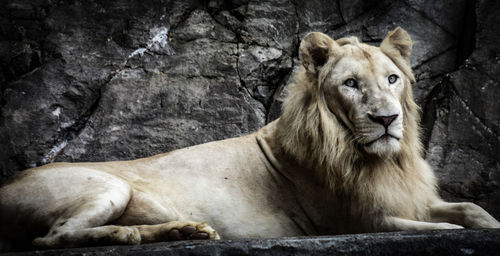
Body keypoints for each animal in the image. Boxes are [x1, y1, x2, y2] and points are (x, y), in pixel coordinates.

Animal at [0, 27, 500, 251]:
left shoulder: (411, 198)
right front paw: (453, 232)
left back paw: (184, 230)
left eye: (393, 79)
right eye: (351, 84)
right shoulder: (357, 220)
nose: (387, 119)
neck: (380, 158)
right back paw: (130, 233)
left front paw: (487, 222)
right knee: (51, 237)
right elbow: (441, 228)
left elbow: (473, 210)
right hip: (109, 186)